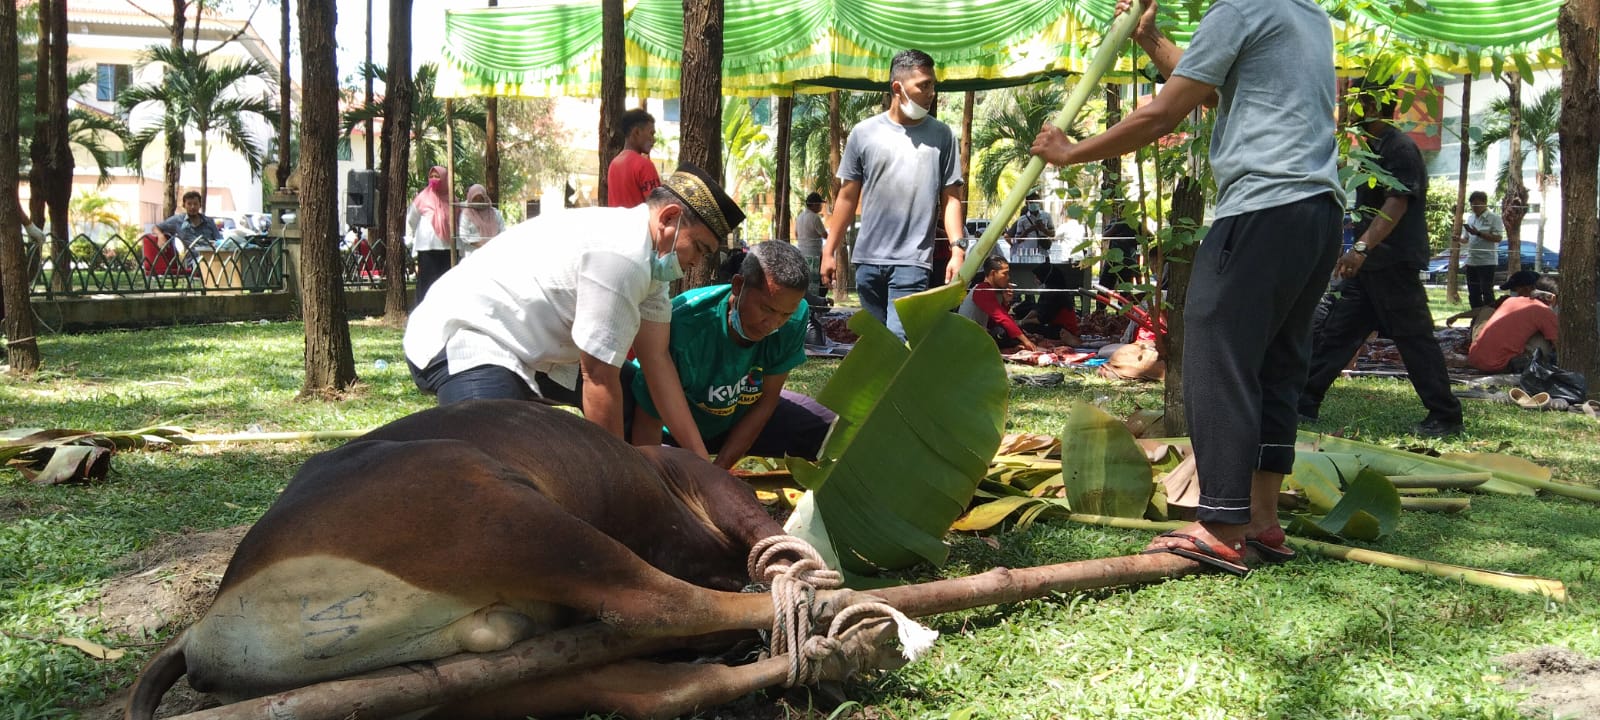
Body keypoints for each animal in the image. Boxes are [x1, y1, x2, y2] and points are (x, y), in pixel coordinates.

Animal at [128, 400, 902, 720]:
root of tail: (204, 632)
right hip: (515, 516)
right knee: (658, 605)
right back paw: (842, 620)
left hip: (457, 686)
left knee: (653, 689)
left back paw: (839, 650)